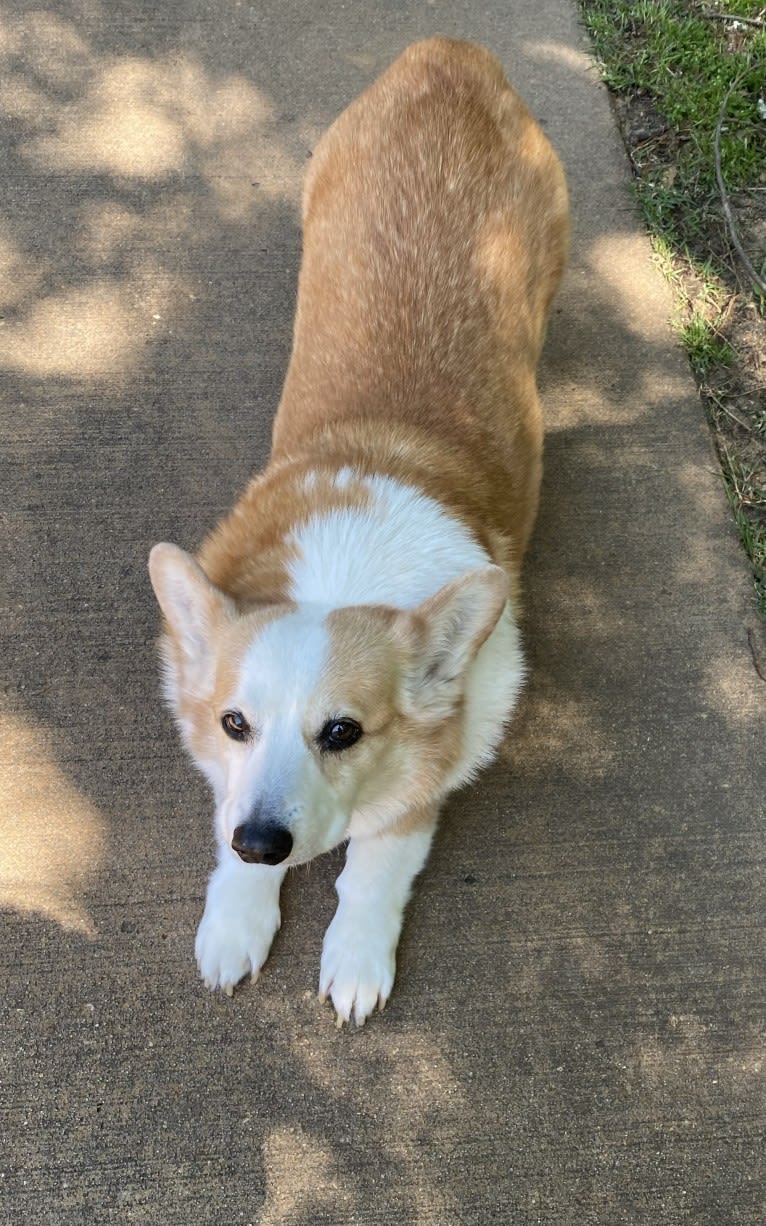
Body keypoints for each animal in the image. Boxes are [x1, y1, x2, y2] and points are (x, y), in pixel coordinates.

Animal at [150, 35, 568, 1024]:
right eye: (233, 723)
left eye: (342, 732)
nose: (264, 843)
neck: (349, 567)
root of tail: (449, 53)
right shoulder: (230, 786)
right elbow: (227, 842)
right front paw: (237, 918)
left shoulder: (423, 785)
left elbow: (372, 872)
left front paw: (354, 962)